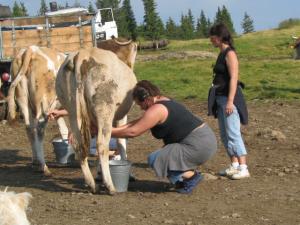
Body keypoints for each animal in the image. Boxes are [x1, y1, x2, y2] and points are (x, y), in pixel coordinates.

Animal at [55, 47, 137, 193]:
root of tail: (84, 53)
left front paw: (99, 174)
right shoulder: (122, 116)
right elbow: (121, 143)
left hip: (72, 110)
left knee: (79, 145)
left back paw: (92, 184)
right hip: (105, 108)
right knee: (101, 144)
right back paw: (110, 186)